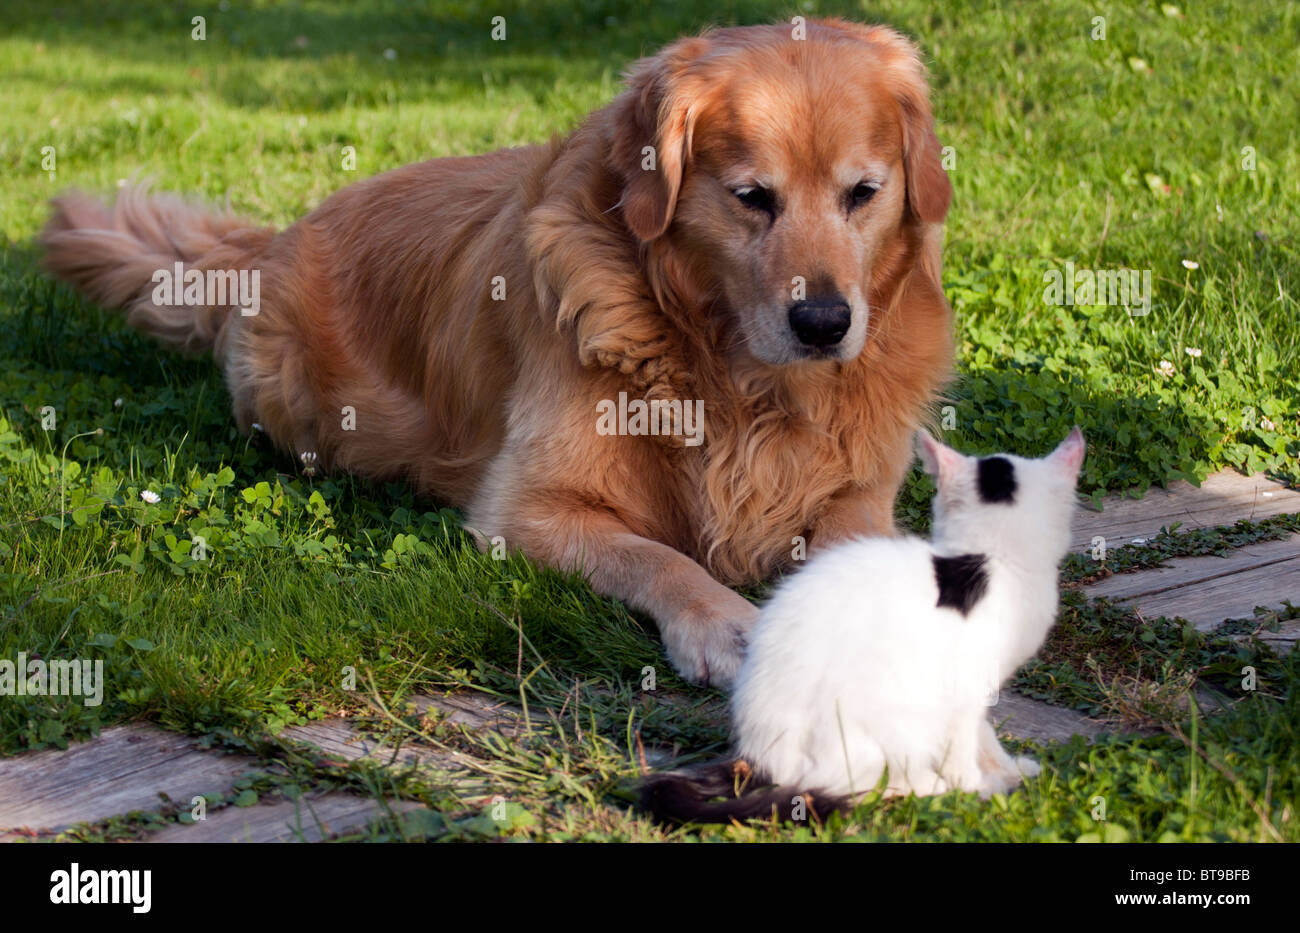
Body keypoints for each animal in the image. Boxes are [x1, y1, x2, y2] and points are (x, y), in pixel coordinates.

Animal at [43, 14, 956, 686]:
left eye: (863, 193)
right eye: (751, 198)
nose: (825, 323)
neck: (737, 377)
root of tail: (274, 238)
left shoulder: (863, 494)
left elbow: (852, 546)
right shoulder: (524, 508)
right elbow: (655, 554)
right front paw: (723, 622)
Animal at [642, 428, 1086, 821]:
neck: (987, 558)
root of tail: (760, 754)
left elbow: (985, 737)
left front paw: (1012, 769)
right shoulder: (967, 688)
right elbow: (969, 742)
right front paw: (979, 783)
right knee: (850, 787)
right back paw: (930, 787)